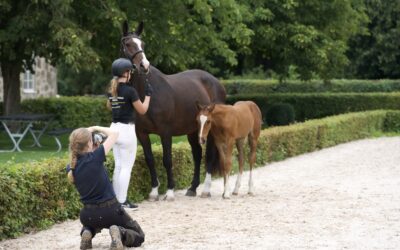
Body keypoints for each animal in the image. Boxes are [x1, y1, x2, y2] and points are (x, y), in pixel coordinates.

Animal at [120, 21, 225, 201]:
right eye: (128, 44)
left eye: (143, 44)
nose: (144, 66)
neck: (146, 93)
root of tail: (215, 82)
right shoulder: (141, 133)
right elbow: (150, 159)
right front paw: (154, 192)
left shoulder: (165, 132)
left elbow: (167, 160)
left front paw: (169, 192)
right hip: (193, 131)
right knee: (197, 155)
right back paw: (192, 188)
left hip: (209, 130)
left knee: (209, 156)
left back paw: (205, 190)